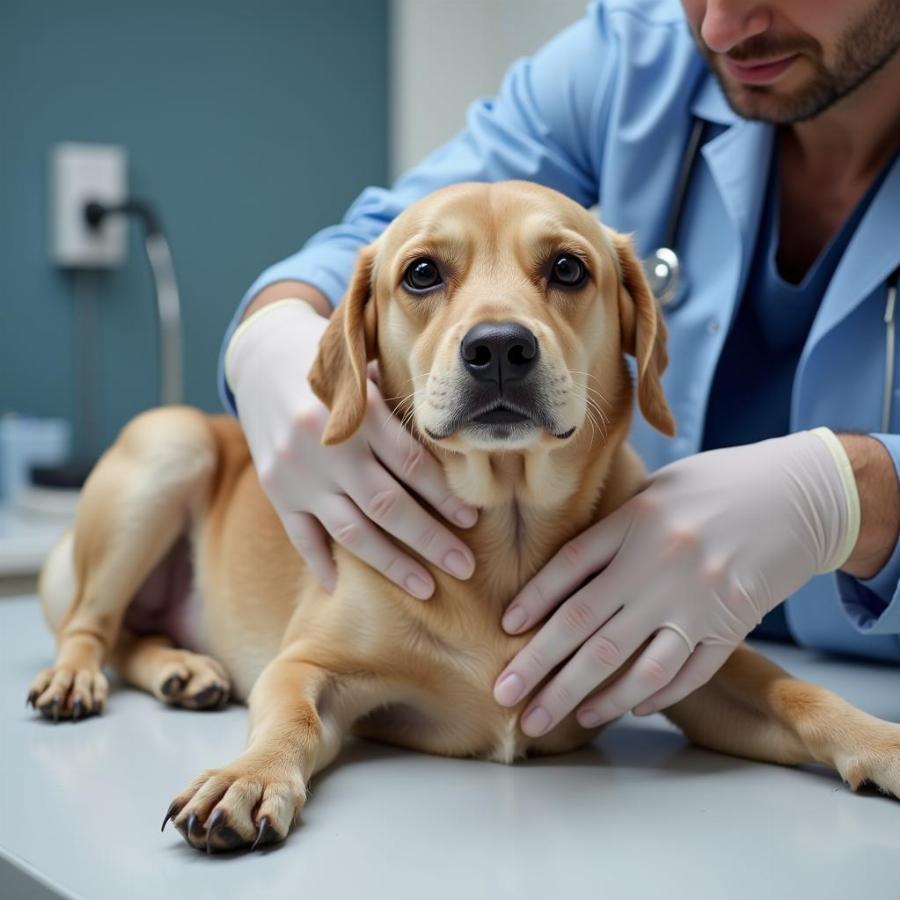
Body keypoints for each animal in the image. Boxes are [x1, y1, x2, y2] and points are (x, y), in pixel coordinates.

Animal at [28, 181, 900, 852]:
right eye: (420, 273)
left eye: (567, 267)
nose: (500, 347)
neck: (506, 529)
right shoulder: (308, 666)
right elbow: (289, 721)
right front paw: (245, 778)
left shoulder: (684, 661)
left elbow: (800, 694)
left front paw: (884, 743)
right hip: (167, 448)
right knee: (92, 627)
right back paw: (81, 677)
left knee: (132, 636)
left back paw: (184, 669)